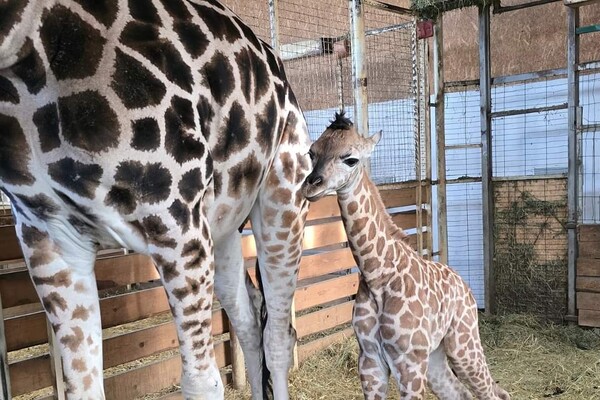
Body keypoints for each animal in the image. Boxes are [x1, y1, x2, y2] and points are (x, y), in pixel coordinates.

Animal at [0, 1, 310, 398]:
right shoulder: (48, 236)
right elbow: (82, 386)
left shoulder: (176, 220)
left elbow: (201, 382)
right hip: (222, 222)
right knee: (249, 314)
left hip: (284, 192)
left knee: (279, 334)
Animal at [302, 112, 508, 400]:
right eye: (312, 152)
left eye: (351, 158)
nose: (311, 185)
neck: (377, 275)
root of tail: (465, 286)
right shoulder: (370, 361)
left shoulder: (409, 362)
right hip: (436, 356)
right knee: (462, 393)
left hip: (463, 344)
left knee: (493, 392)